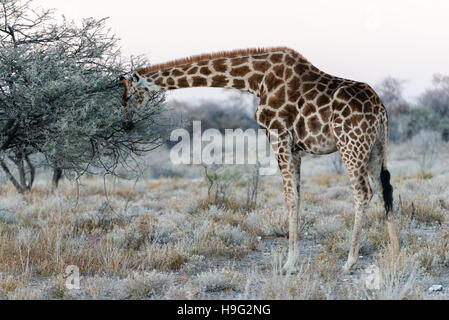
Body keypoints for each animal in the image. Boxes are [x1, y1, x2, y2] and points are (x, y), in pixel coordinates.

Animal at [120, 47, 400, 272]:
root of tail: (380, 108)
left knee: (363, 192)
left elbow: (290, 197)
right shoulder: (295, 148)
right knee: (383, 189)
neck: (256, 80)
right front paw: (293, 259)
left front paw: (288, 263)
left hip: (350, 146)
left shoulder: (278, 136)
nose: (127, 124)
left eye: (130, 96)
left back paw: (350, 261)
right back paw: (396, 253)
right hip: (375, 148)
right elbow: (298, 196)